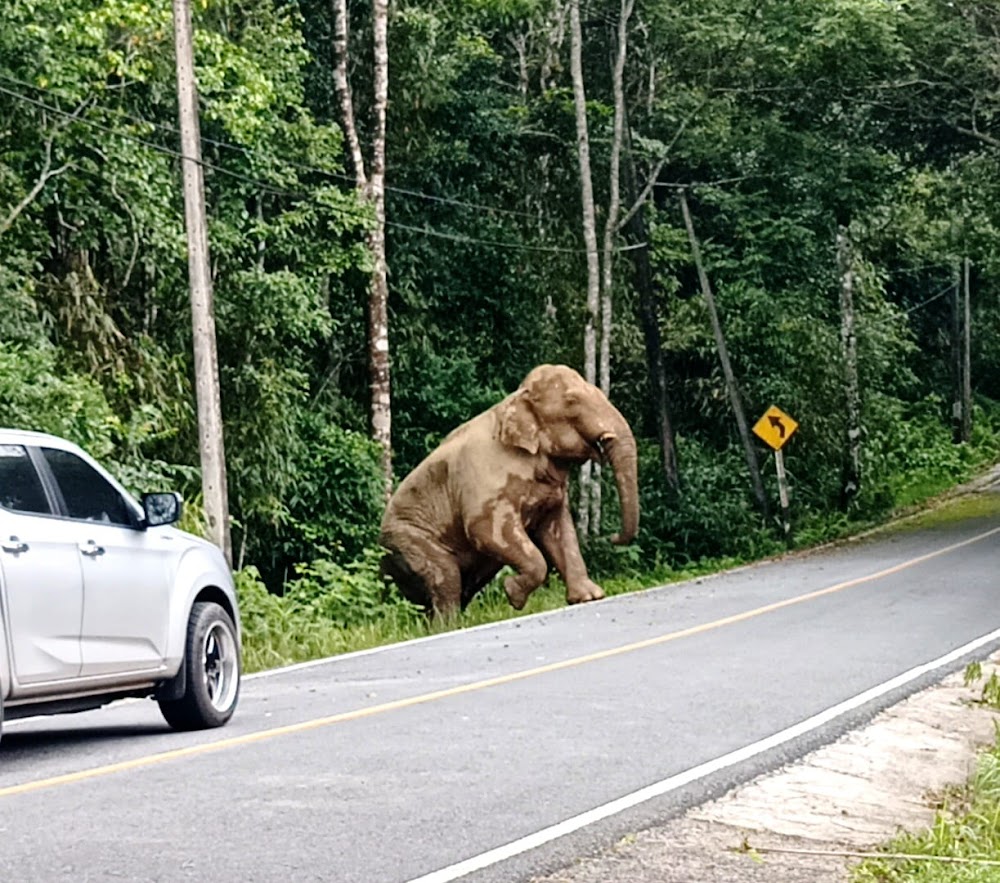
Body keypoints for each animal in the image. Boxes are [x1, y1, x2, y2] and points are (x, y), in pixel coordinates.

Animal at [378, 362, 636, 620]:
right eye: (571, 400)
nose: (612, 537)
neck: (515, 399)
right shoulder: (485, 477)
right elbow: (484, 530)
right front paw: (513, 593)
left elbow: (559, 528)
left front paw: (589, 597)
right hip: (410, 541)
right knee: (446, 576)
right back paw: (450, 624)